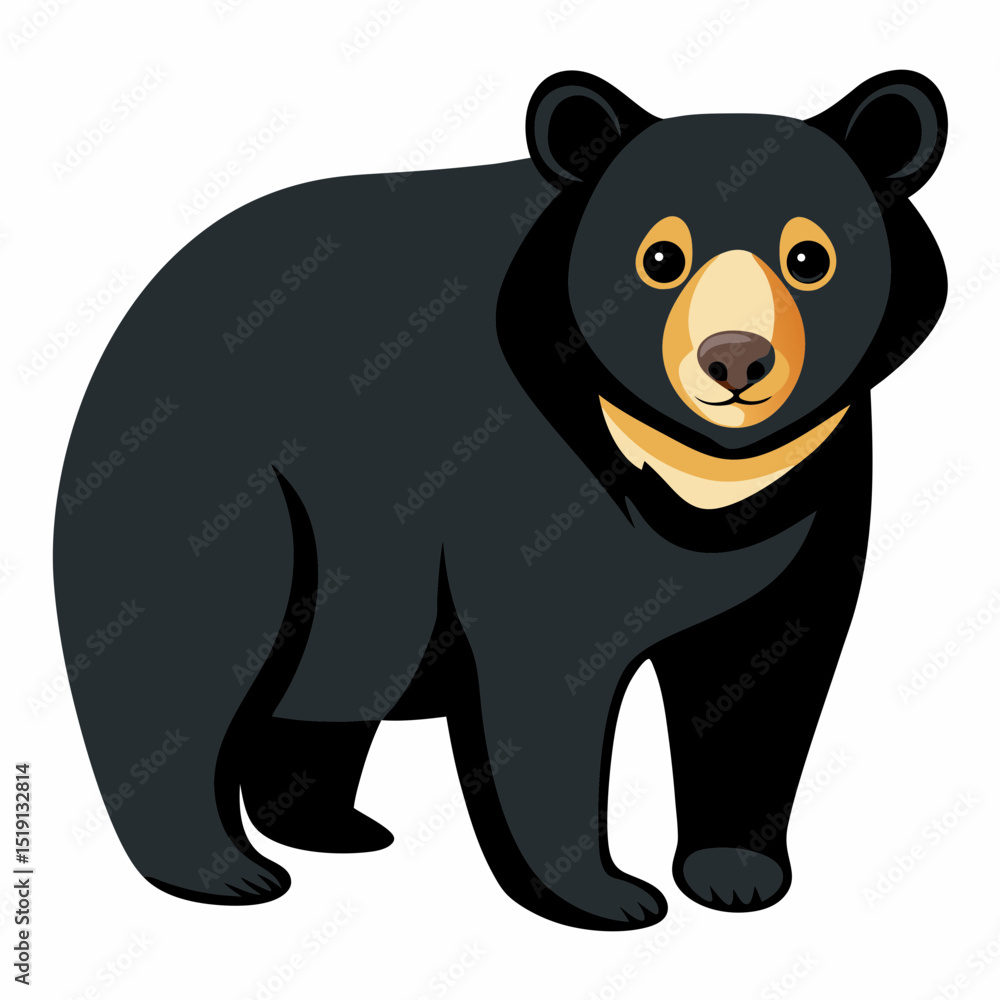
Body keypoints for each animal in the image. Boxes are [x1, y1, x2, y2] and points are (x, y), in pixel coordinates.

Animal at [54, 69, 947, 931]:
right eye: (660, 257)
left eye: (810, 257)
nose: (735, 358)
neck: (698, 470)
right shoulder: (525, 479)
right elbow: (545, 677)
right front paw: (608, 894)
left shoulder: (819, 484)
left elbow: (768, 668)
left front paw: (736, 875)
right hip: (219, 487)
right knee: (187, 663)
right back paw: (225, 872)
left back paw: (331, 828)